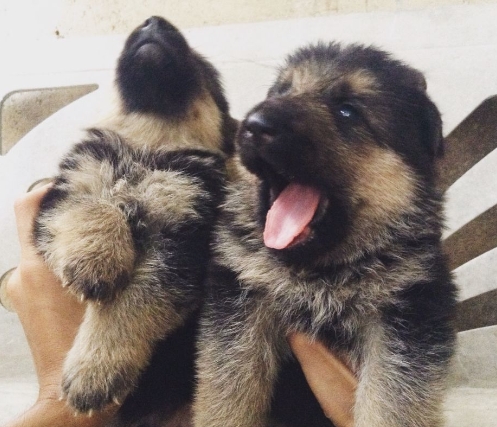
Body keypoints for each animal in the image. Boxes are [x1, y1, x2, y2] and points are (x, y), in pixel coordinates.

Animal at [33, 15, 234, 418]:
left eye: (203, 67)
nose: (155, 21)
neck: (147, 148)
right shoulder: (64, 195)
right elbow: (93, 207)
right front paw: (96, 259)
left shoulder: (183, 235)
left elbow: (133, 300)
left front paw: (94, 369)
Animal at [192, 43, 456, 427]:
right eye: (281, 91)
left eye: (348, 111)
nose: (254, 125)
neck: (321, 273)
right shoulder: (239, 309)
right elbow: (228, 395)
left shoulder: (405, 324)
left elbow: (389, 403)